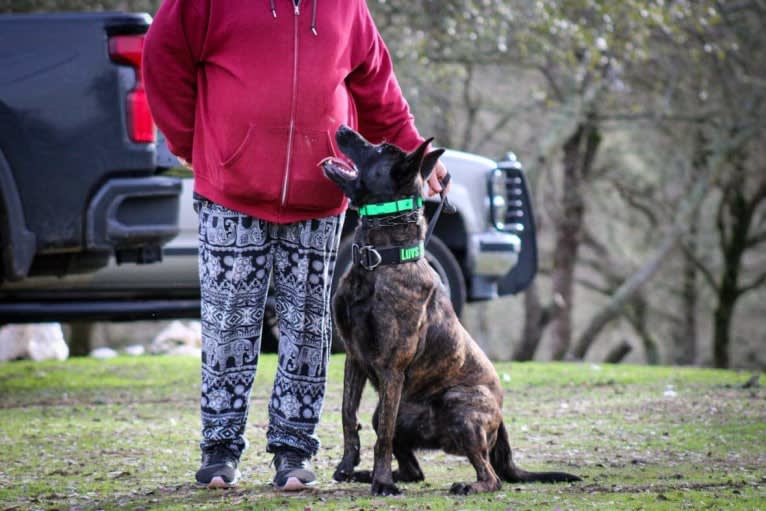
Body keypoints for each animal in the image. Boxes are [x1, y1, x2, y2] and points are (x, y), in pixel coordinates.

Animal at [320, 125, 584, 496]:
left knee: (492, 476)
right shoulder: (354, 359)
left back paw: (464, 485)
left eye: (380, 149)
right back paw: (370, 474)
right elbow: (347, 415)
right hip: (397, 409)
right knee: (414, 469)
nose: (343, 128)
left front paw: (382, 483)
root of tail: (501, 417)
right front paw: (348, 466)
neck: (379, 261)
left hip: (459, 406)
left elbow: (382, 437)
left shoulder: (390, 369)